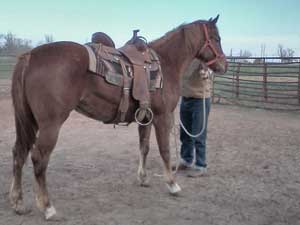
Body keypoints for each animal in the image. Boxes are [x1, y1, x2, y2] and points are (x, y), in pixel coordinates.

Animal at [9, 16, 227, 220]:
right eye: (216, 39)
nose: (224, 65)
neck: (166, 63)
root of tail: (30, 56)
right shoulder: (162, 117)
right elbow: (164, 151)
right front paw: (172, 185)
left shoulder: (146, 117)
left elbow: (144, 147)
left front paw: (143, 178)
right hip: (51, 125)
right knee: (39, 159)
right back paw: (47, 207)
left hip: (28, 121)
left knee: (19, 153)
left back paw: (18, 203)